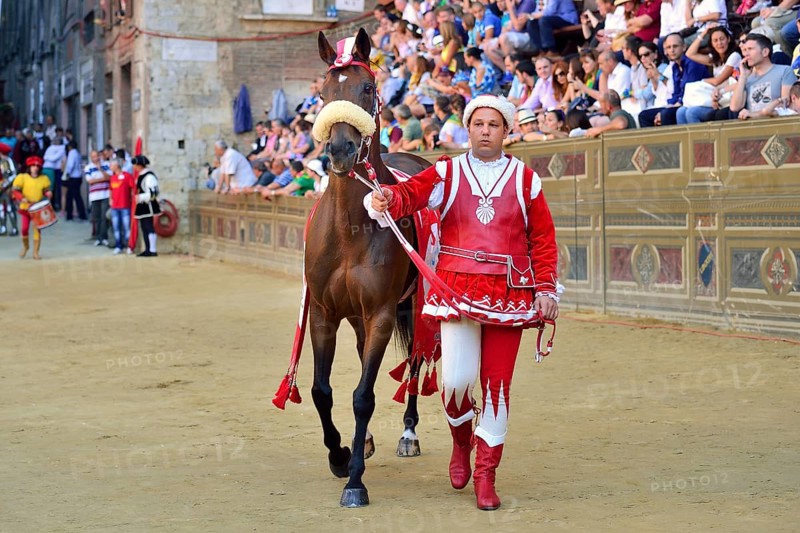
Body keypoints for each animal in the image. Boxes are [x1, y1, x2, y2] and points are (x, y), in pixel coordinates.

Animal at [304, 28, 435, 507]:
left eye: (366, 88)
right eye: (322, 93)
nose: (341, 149)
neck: (349, 229)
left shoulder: (381, 313)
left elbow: (363, 396)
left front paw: (355, 480)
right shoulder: (324, 312)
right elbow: (321, 390)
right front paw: (340, 455)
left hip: (414, 305)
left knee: (415, 362)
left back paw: (408, 434)